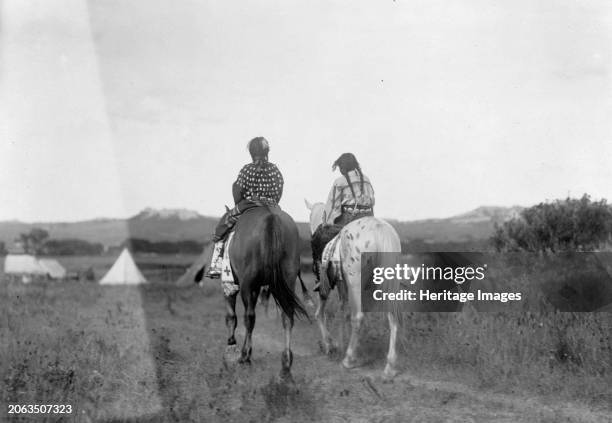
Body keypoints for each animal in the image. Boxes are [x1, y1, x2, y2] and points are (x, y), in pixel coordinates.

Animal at [221, 207, 308, 380]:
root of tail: (270, 218)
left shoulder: (233, 285)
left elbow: (231, 316)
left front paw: (232, 344)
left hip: (248, 285)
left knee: (249, 317)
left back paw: (244, 356)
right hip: (287, 280)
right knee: (287, 317)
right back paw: (286, 365)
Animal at [304, 200, 402, 380]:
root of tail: (378, 229)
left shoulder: (329, 283)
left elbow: (322, 312)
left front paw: (330, 344)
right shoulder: (344, 286)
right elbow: (343, 311)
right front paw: (342, 343)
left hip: (355, 282)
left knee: (357, 317)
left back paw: (348, 359)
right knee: (392, 317)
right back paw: (389, 367)